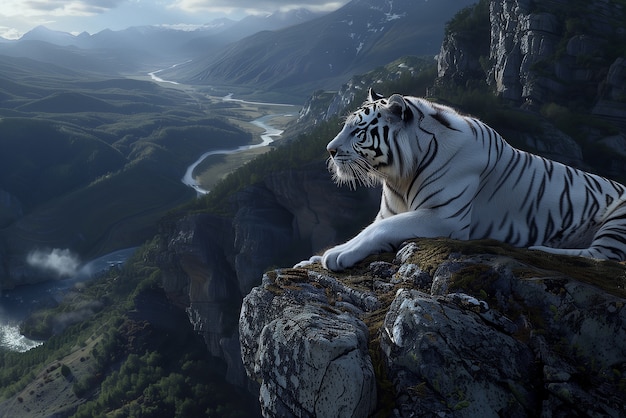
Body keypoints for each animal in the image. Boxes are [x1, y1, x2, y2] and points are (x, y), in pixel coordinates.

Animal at [294, 88, 624, 272]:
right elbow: (367, 229)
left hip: (618, 216)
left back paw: (541, 249)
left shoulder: (444, 217)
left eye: (358, 131)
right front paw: (312, 260)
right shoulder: (390, 212)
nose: (329, 149)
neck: (400, 176)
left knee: (602, 257)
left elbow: (378, 230)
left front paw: (339, 254)